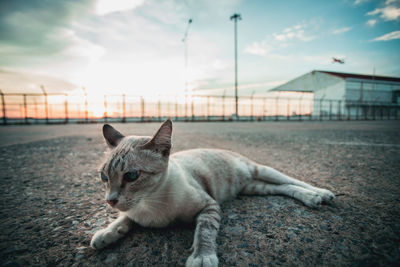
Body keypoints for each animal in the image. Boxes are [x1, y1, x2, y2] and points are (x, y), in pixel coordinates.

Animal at [90, 120, 334, 266]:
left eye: (131, 176)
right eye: (104, 177)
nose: (109, 201)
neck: (150, 205)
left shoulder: (209, 206)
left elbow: (205, 231)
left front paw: (202, 256)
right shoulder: (132, 211)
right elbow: (124, 218)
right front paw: (106, 233)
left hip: (262, 171)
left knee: (292, 181)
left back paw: (320, 194)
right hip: (255, 188)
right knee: (282, 188)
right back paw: (312, 197)